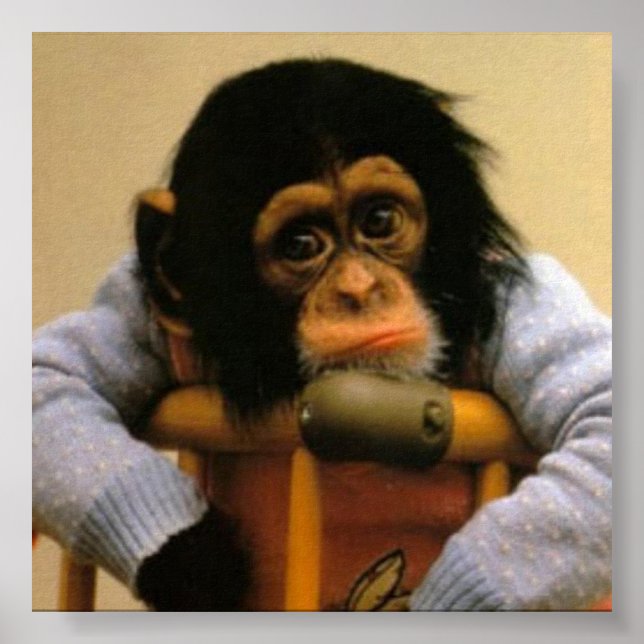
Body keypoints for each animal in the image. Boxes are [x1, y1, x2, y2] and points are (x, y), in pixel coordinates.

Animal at [33, 58, 611, 611]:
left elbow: (597, 406)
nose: (358, 287)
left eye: (380, 220)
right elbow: (55, 371)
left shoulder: (522, 305)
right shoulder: (146, 310)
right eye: (300, 244)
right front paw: (191, 558)